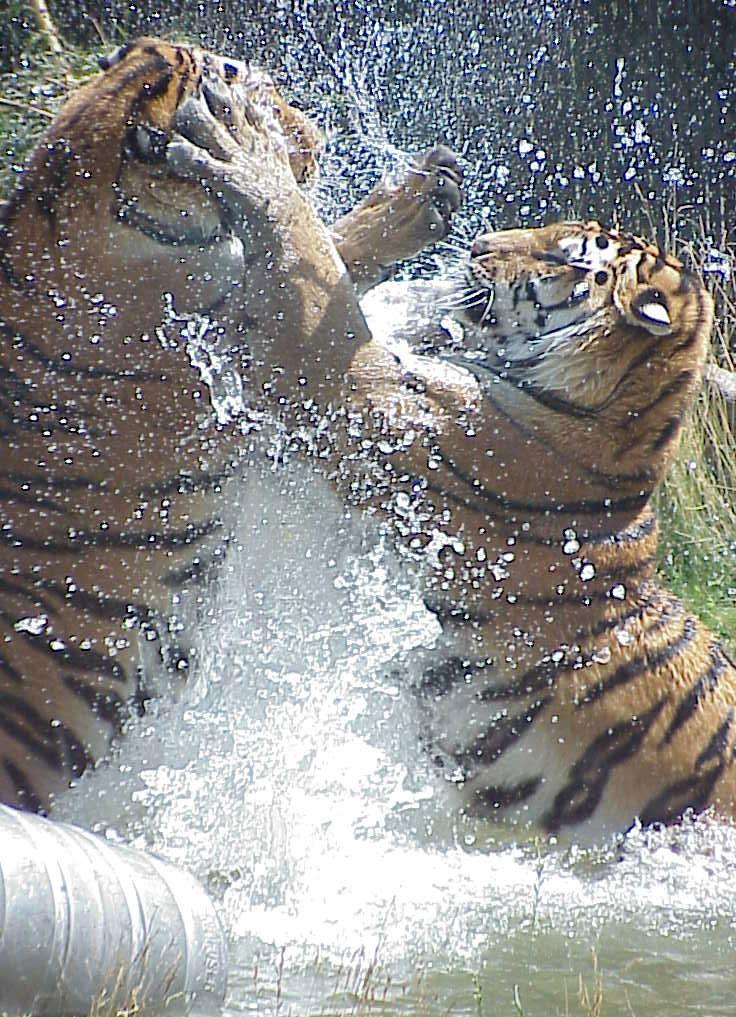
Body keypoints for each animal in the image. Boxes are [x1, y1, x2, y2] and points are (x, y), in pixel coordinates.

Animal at [0, 35, 459, 809]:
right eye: (265, 102)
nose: (316, 138)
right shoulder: (253, 371)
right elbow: (312, 253)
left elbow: (324, 251)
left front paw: (426, 199)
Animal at [166, 99, 736, 846]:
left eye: (560, 255)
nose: (477, 245)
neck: (610, 422)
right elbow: (331, 269)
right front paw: (415, 195)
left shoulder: (361, 396)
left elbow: (305, 257)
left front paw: (244, 150)